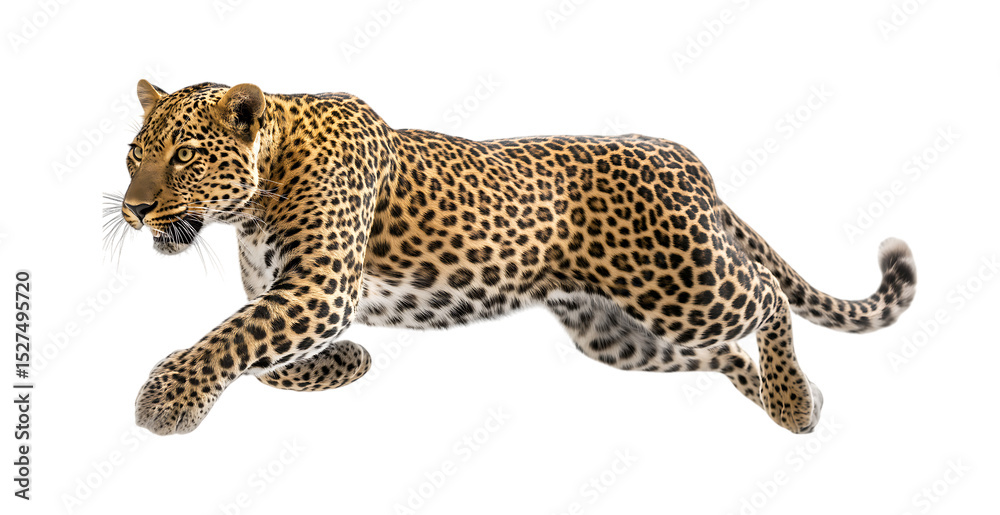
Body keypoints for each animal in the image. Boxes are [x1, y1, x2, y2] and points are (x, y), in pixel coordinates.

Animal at [112, 80, 917, 436]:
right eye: (132, 154)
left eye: (182, 157)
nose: (133, 208)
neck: (254, 197)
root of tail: (687, 159)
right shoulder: (294, 295)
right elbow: (261, 354)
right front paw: (348, 364)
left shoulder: (319, 289)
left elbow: (231, 338)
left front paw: (165, 400)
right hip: (616, 334)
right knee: (722, 352)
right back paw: (791, 402)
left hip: (682, 283)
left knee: (766, 297)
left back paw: (791, 396)